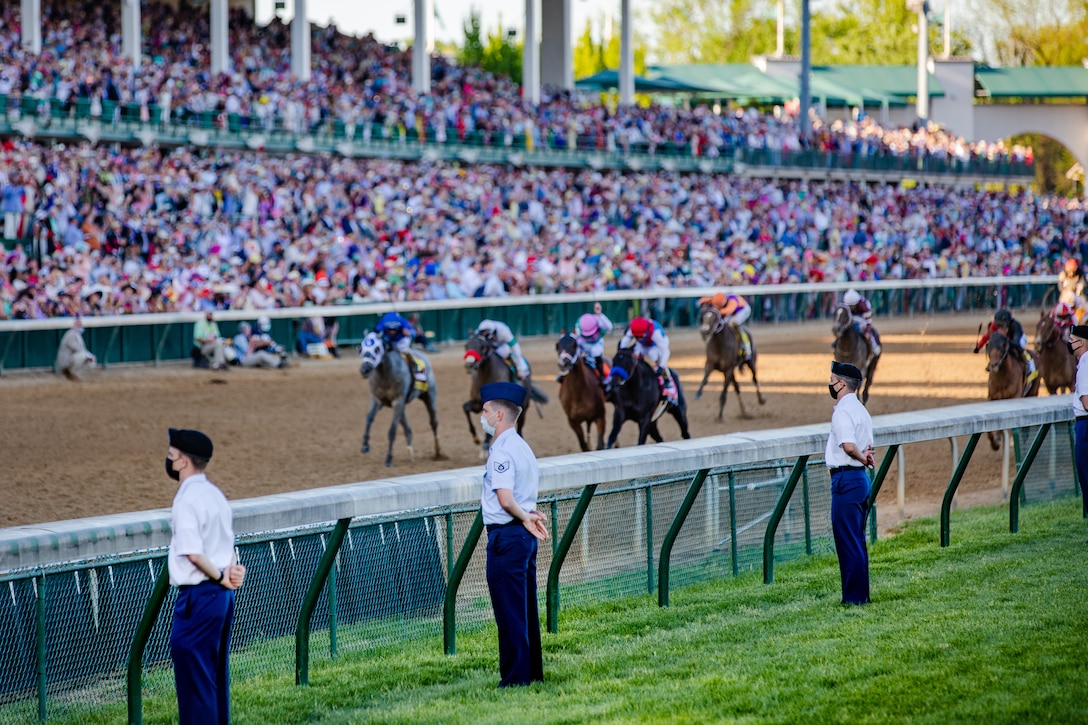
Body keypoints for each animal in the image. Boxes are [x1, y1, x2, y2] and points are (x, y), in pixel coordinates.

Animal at [356, 330, 441, 465]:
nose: (365, 369)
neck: (386, 375)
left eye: (377, 349)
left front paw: (389, 458)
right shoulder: (376, 399)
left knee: (434, 422)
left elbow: (392, 429)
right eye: (361, 348)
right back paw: (410, 451)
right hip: (401, 406)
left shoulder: (398, 401)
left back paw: (438, 452)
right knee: (407, 427)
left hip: (429, 397)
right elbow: (369, 418)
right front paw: (365, 445)